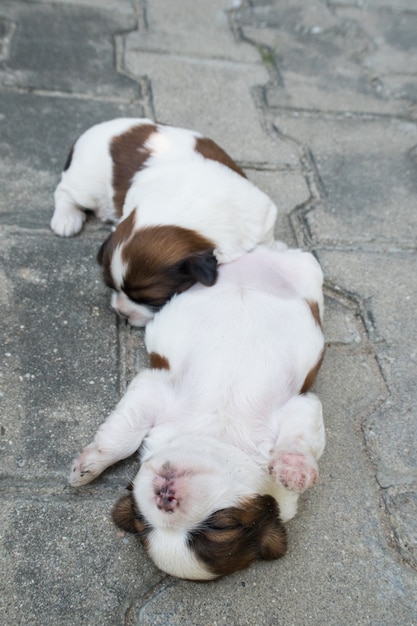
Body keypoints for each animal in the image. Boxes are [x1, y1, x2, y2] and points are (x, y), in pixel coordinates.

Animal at [50, 117, 278, 324]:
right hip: (85, 184)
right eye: (110, 286)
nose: (122, 313)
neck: (187, 203)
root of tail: (85, 134)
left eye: (151, 299)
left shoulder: (261, 220)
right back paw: (66, 219)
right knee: (63, 192)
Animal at [68, 245, 324, 580]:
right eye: (140, 516)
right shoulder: (154, 390)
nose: (165, 498)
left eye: (221, 525)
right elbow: (122, 437)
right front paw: (88, 466)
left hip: (307, 272)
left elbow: (297, 441)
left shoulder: (301, 405)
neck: (217, 433)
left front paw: (293, 470)